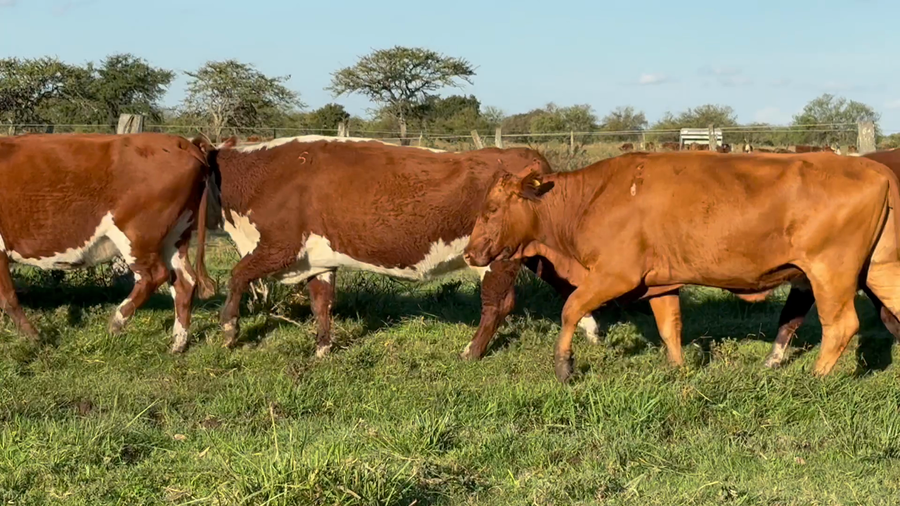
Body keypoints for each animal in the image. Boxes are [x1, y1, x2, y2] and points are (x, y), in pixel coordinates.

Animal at [0, 133, 215, 352]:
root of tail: (181, 142)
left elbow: (8, 297)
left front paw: (34, 337)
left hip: (137, 236)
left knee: (154, 276)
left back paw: (116, 323)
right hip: (175, 236)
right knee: (184, 282)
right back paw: (178, 344)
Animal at [190, 135, 600, 359]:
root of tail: (526, 157)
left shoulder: (279, 247)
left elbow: (238, 276)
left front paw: (229, 329)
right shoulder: (315, 259)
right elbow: (321, 302)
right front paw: (322, 347)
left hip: (496, 257)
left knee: (498, 304)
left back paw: (471, 352)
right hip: (538, 254)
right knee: (571, 284)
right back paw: (592, 331)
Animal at [463, 151, 900, 382]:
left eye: (492, 209)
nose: (469, 253)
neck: (591, 197)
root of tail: (874, 168)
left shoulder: (613, 275)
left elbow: (570, 309)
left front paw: (564, 365)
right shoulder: (660, 283)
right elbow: (669, 326)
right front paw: (676, 369)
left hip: (830, 274)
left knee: (841, 326)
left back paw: (816, 377)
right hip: (880, 269)